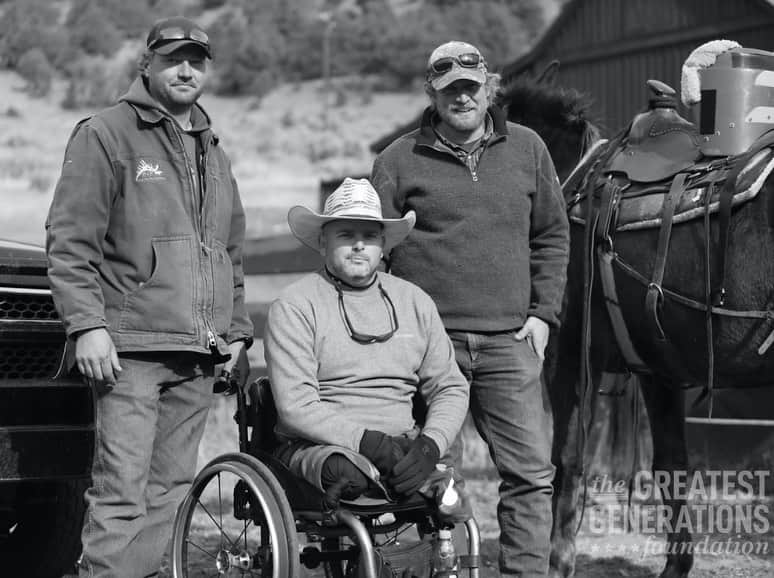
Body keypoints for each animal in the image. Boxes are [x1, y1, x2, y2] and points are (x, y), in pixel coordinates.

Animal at [498, 63, 774, 576]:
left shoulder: (569, 357)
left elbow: (568, 458)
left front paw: (558, 560)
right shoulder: (657, 372)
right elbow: (671, 466)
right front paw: (676, 565)